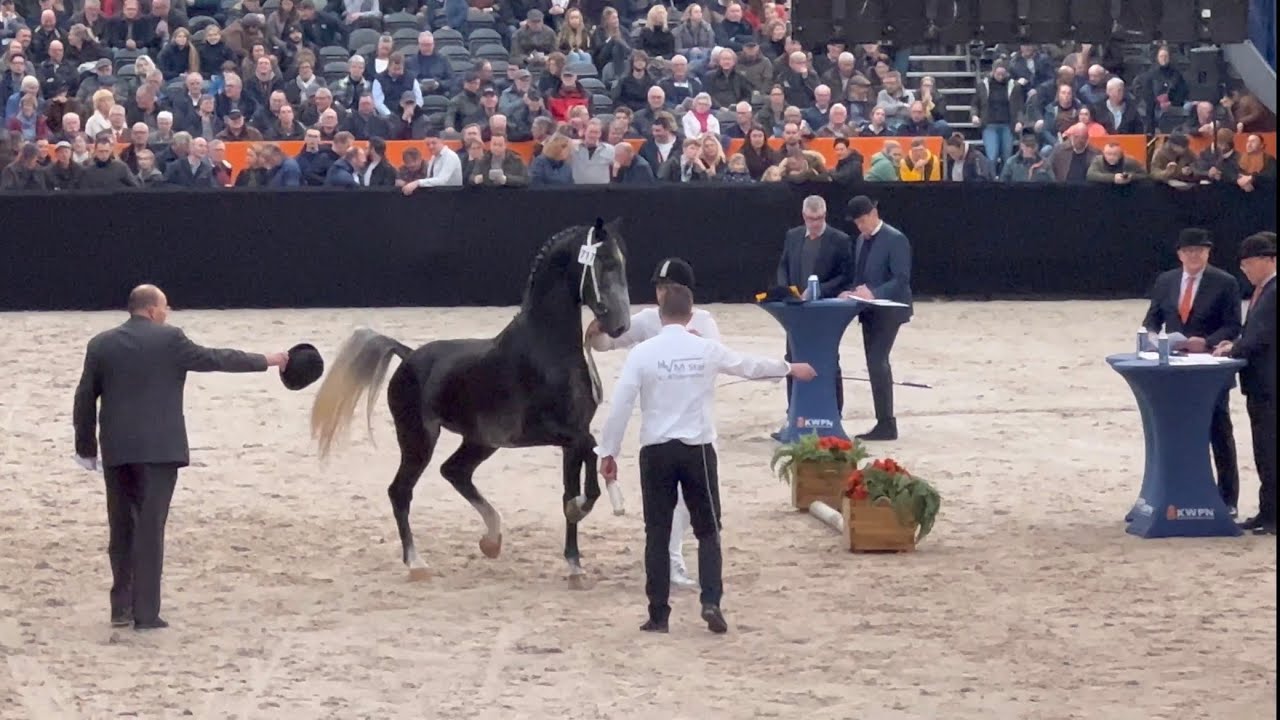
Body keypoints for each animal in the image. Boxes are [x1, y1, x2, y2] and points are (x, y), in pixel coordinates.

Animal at [309, 217, 631, 586]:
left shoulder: (570, 437)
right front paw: (582, 508)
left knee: (454, 471)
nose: (620, 325)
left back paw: (491, 540)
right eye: (604, 263)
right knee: (401, 491)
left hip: (479, 442)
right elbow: (590, 451)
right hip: (419, 440)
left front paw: (575, 562)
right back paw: (417, 563)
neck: (546, 351)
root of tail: (408, 355)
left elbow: (572, 483)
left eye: (621, 263)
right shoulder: (550, 432)